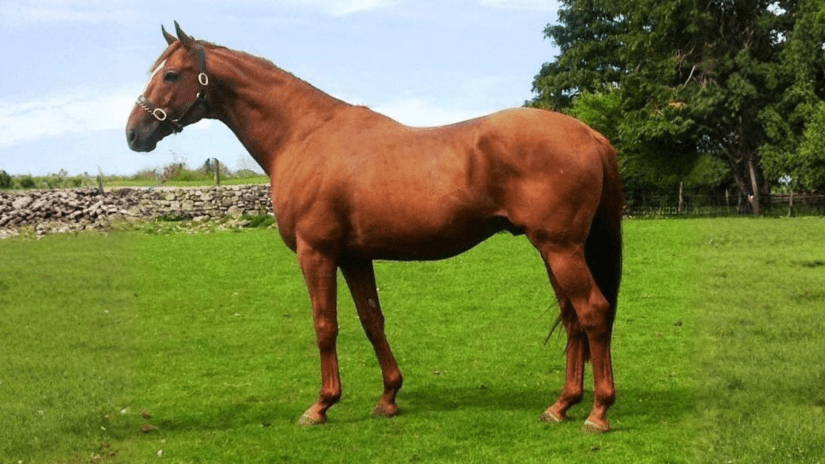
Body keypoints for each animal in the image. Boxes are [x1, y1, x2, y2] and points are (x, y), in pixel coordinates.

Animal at [125, 22, 623, 433]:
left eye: (171, 76)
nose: (133, 134)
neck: (304, 135)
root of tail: (589, 133)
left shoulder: (317, 253)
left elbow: (325, 325)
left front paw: (321, 405)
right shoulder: (354, 255)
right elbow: (371, 320)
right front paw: (388, 398)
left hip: (560, 248)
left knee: (593, 312)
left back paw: (598, 412)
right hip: (554, 250)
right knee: (573, 319)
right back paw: (562, 405)